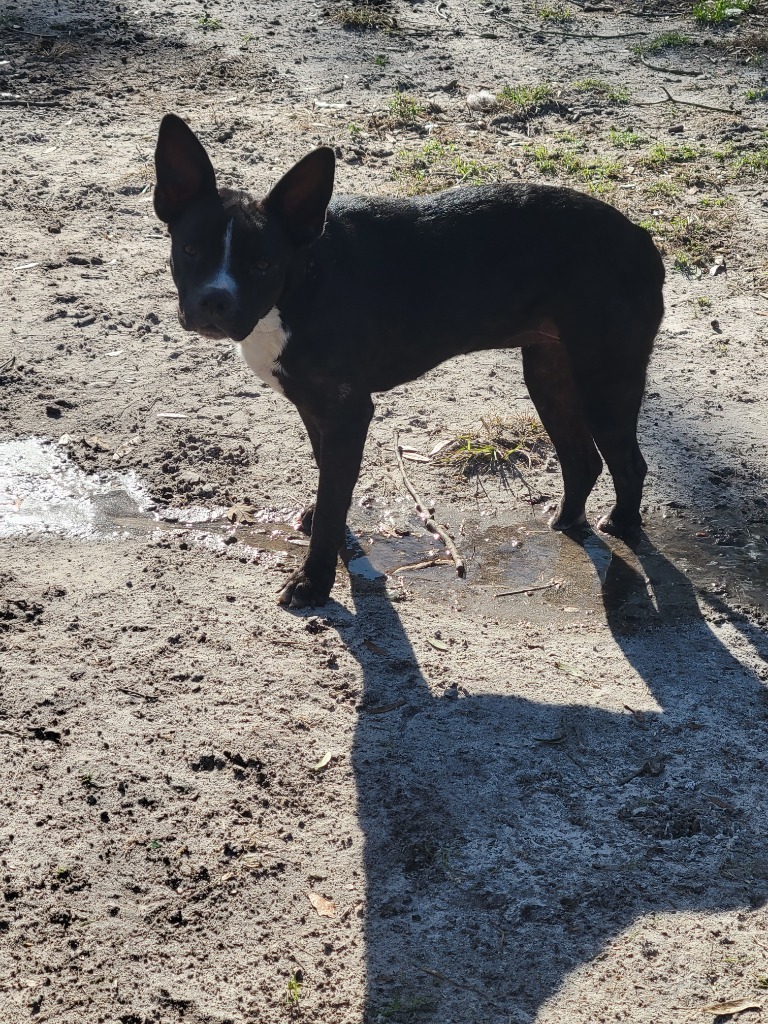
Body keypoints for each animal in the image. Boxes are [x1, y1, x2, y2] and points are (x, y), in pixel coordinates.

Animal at [153, 114, 663, 606]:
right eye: (190, 250)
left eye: (262, 266)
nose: (215, 300)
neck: (302, 280)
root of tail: (640, 235)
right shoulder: (317, 409)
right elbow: (328, 480)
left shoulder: (347, 412)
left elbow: (334, 497)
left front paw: (314, 580)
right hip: (548, 372)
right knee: (583, 459)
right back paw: (566, 520)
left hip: (605, 379)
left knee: (628, 463)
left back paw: (622, 526)